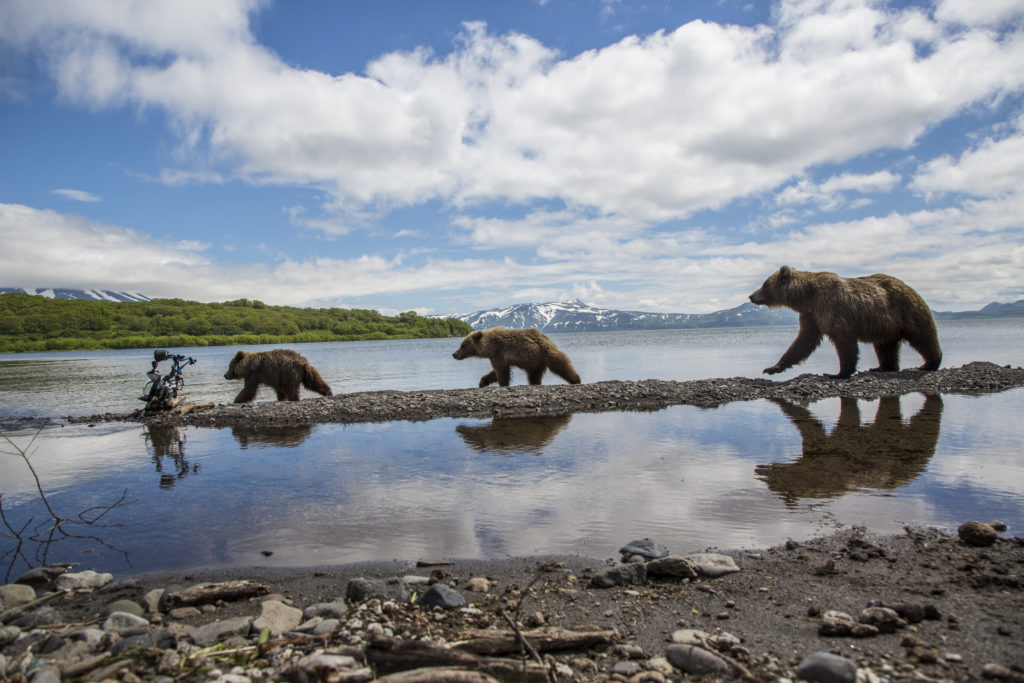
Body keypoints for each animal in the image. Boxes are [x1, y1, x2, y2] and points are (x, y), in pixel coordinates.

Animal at [452, 327, 581, 387]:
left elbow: (501, 372)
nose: (454, 354)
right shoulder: (498, 357)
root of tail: (546, 338)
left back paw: (576, 379)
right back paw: (535, 383)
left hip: (545, 353)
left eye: (463, 345)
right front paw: (483, 382)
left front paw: (502, 384)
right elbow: (495, 372)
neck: (490, 347)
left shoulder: (499, 353)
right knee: (534, 375)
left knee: (561, 364)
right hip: (535, 362)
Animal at [749, 266, 937, 378]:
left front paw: (839, 373)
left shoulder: (832, 308)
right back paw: (883, 367)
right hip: (885, 325)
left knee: (922, 336)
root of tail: (910, 288)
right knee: (885, 345)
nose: (751, 296)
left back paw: (929, 363)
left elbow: (844, 342)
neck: (806, 298)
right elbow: (803, 342)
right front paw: (773, 367)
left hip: (907, 310)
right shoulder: (812, 315)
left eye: (764, 284)